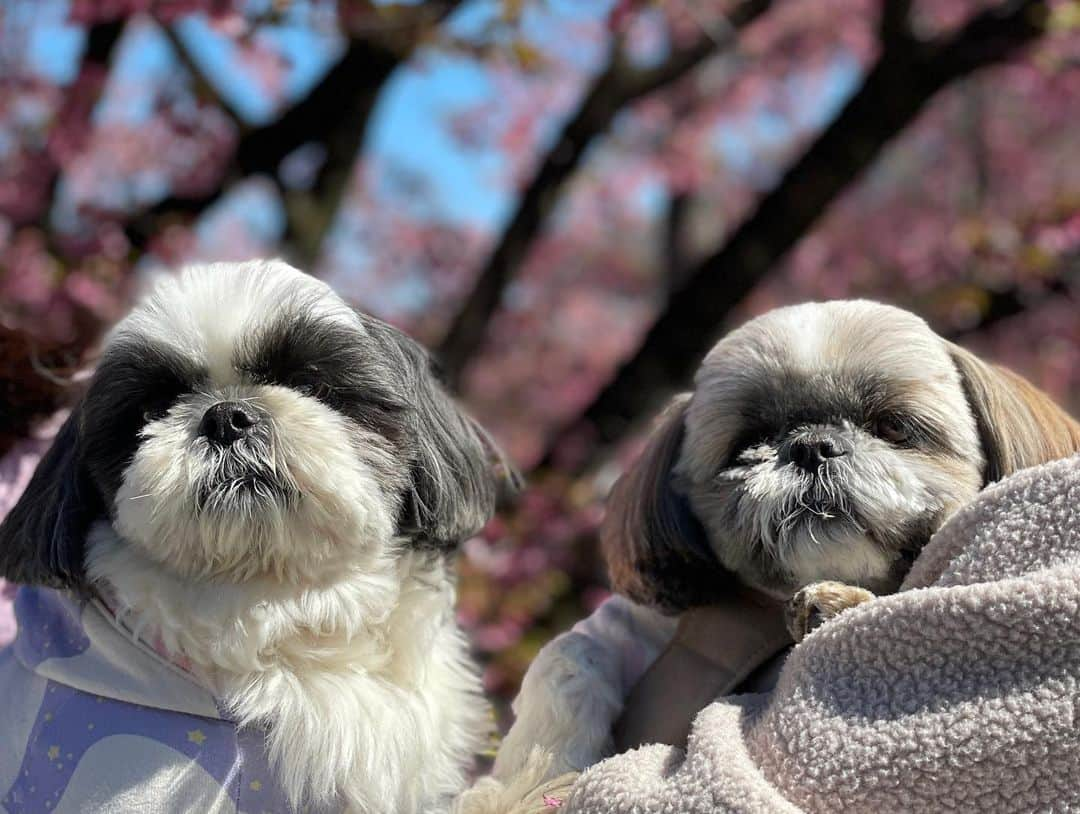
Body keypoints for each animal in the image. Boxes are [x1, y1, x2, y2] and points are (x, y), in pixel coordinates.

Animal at [477, 302, 1080, 807]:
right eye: (748, 441)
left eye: (892, 425)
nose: (811, 445)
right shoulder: (632, 626)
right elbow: (567, 656)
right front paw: (530, 779)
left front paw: (835, 603)